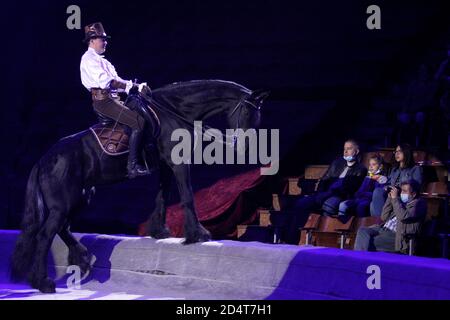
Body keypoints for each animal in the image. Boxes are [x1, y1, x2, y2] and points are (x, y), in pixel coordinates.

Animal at [10, 79, 268, 292]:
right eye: (247, 111)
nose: (243, 146)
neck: (175, 110)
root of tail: (44, 159)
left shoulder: (166, 166)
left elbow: (163, 195)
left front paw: (159, 231)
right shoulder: (179, 163)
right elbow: (187, 196)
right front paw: (198, 234)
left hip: (80, 196)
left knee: (62, 228)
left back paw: (82, 260)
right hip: (63, 203)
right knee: (45, 235)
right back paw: (44, 282)